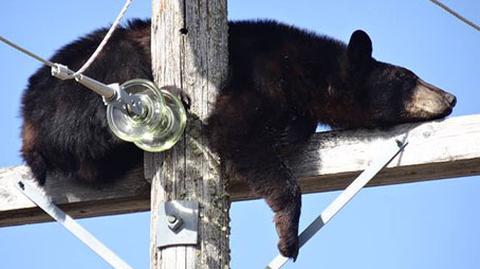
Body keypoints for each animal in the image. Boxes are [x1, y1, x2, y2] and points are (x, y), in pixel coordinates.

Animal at [19, 18, 454, 258]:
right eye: (405, 77)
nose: (450, 97)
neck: (306, 68)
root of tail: (25, 122)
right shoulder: (258, 72)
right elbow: (235, 131)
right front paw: (287, 234)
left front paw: (292, 129)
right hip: (81, 87)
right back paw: (169, 96)